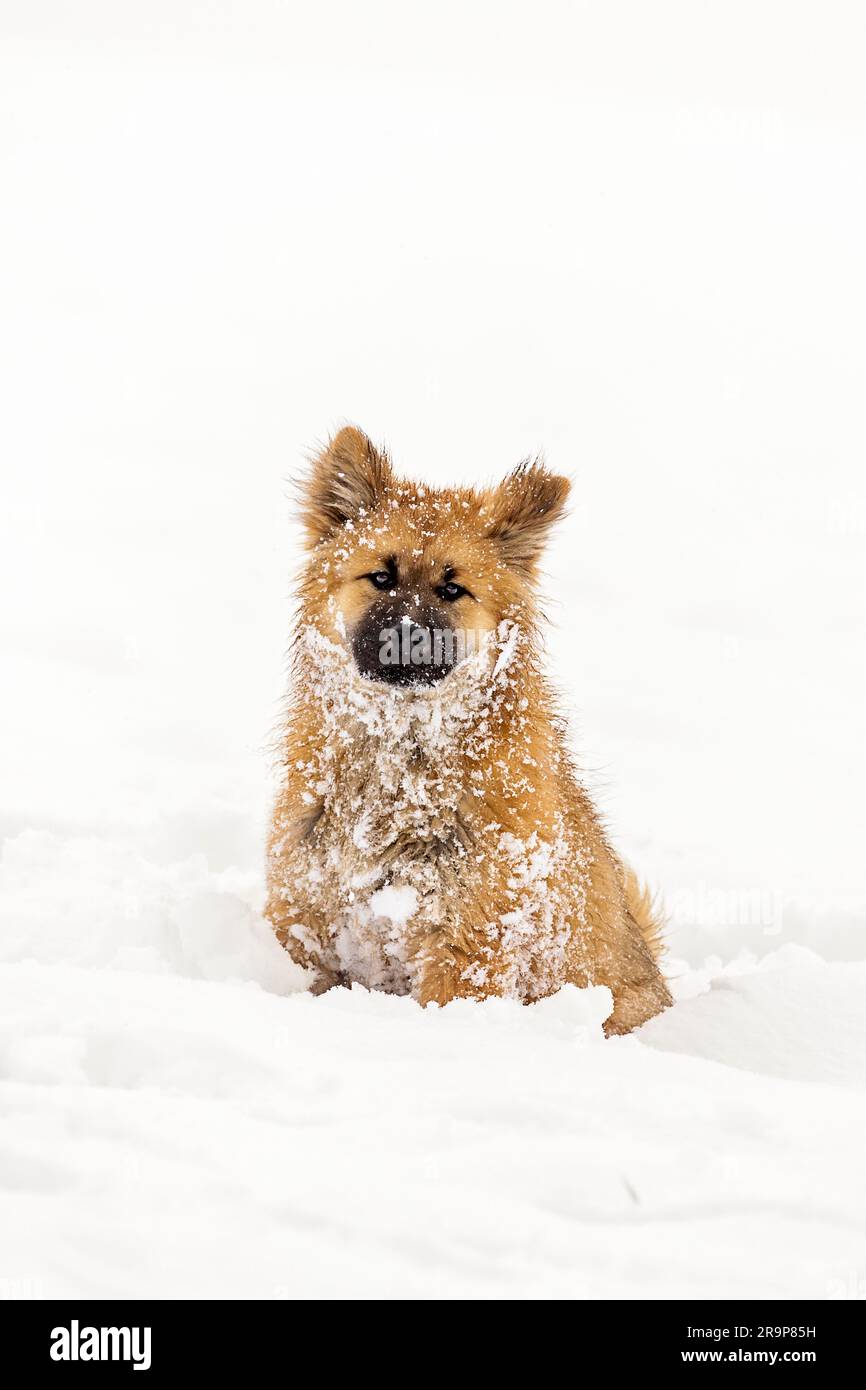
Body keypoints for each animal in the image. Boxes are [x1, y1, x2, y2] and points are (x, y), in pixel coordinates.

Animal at [268, 422, 675, 1034]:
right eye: (381, 576)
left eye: (452, 589)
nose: (406, 638)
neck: (404, 771)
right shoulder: (308, 914)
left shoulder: (467, 943)